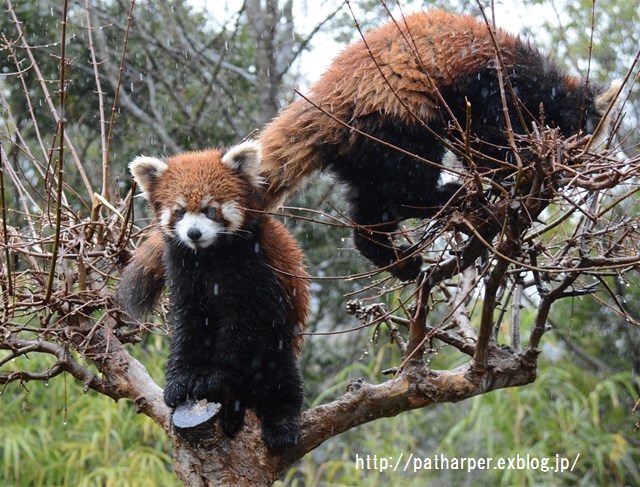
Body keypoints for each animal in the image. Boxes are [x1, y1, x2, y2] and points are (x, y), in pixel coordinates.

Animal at [120, 142, 312, 454]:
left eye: (211, 210)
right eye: (179, 211)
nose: (194, 233)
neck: (209, 256)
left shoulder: (254, 272)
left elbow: (242, 327)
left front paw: (212, 376)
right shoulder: (183, 274)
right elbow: (189, 328)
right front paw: (180, 380)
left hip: (277, 343)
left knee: (281, 380)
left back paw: (281, 425)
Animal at [258, 9, 624, 280]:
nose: (562, 176)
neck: (543, 85)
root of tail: (325, 103)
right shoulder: (493, 85)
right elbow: (483, 137)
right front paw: (511, 170)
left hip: (361, 151)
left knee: (370, 204)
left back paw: (394, 256)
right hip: (392, 117)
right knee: (407, 179)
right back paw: (446, 196)